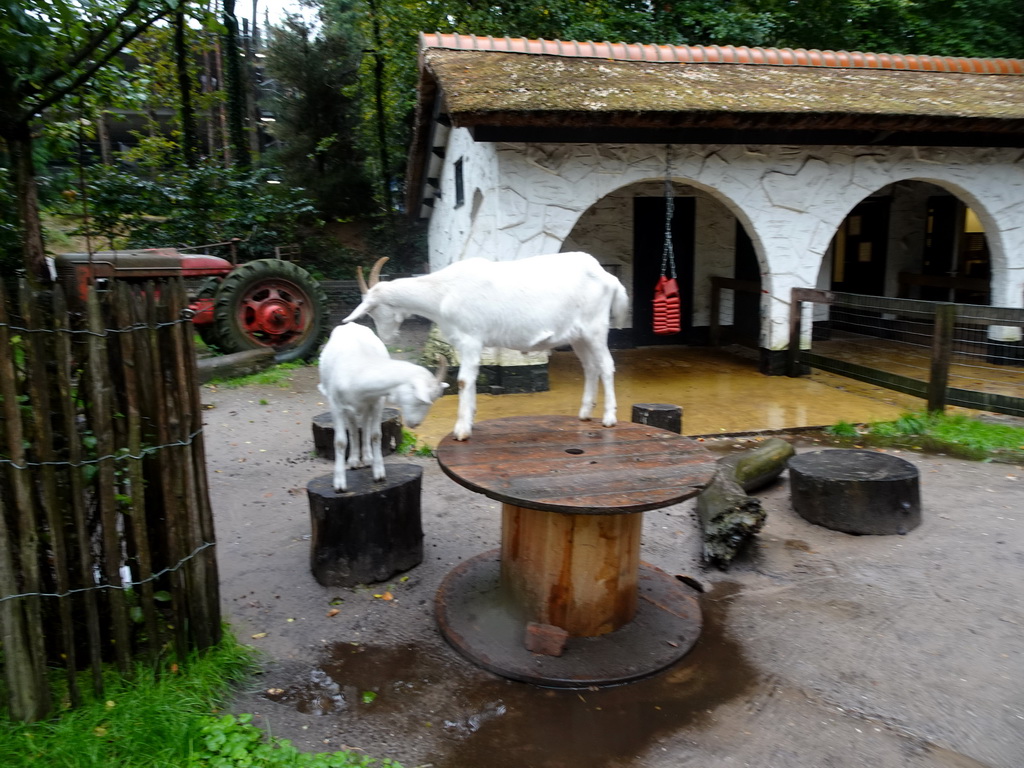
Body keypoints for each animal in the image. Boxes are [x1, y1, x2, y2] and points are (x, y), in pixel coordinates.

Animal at [315, 323, 448, 493]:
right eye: (422, 401)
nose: (416, 424)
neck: (359, 367)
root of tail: (351, 324)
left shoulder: (377, 401)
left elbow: (376, 435)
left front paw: (379, 474)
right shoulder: (335, 404)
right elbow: (340, 442)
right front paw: (339, 484)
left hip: (366, 405)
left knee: (364, 425)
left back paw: (367, 458)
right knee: (353, 427)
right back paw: (353, 461)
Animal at [342, 252, 622, 442]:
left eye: (373, 310)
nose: (386, 337)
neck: (443, 292)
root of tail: (609, 278)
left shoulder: (470, 339)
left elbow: (464, 380)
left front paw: (461, 430)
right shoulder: (467, 343)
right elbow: (473, 379)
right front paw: (471, 420)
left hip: (596, 329)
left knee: (606, 366)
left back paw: (609, 418)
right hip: (579, 336)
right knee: (590, 367)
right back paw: (585, 413)